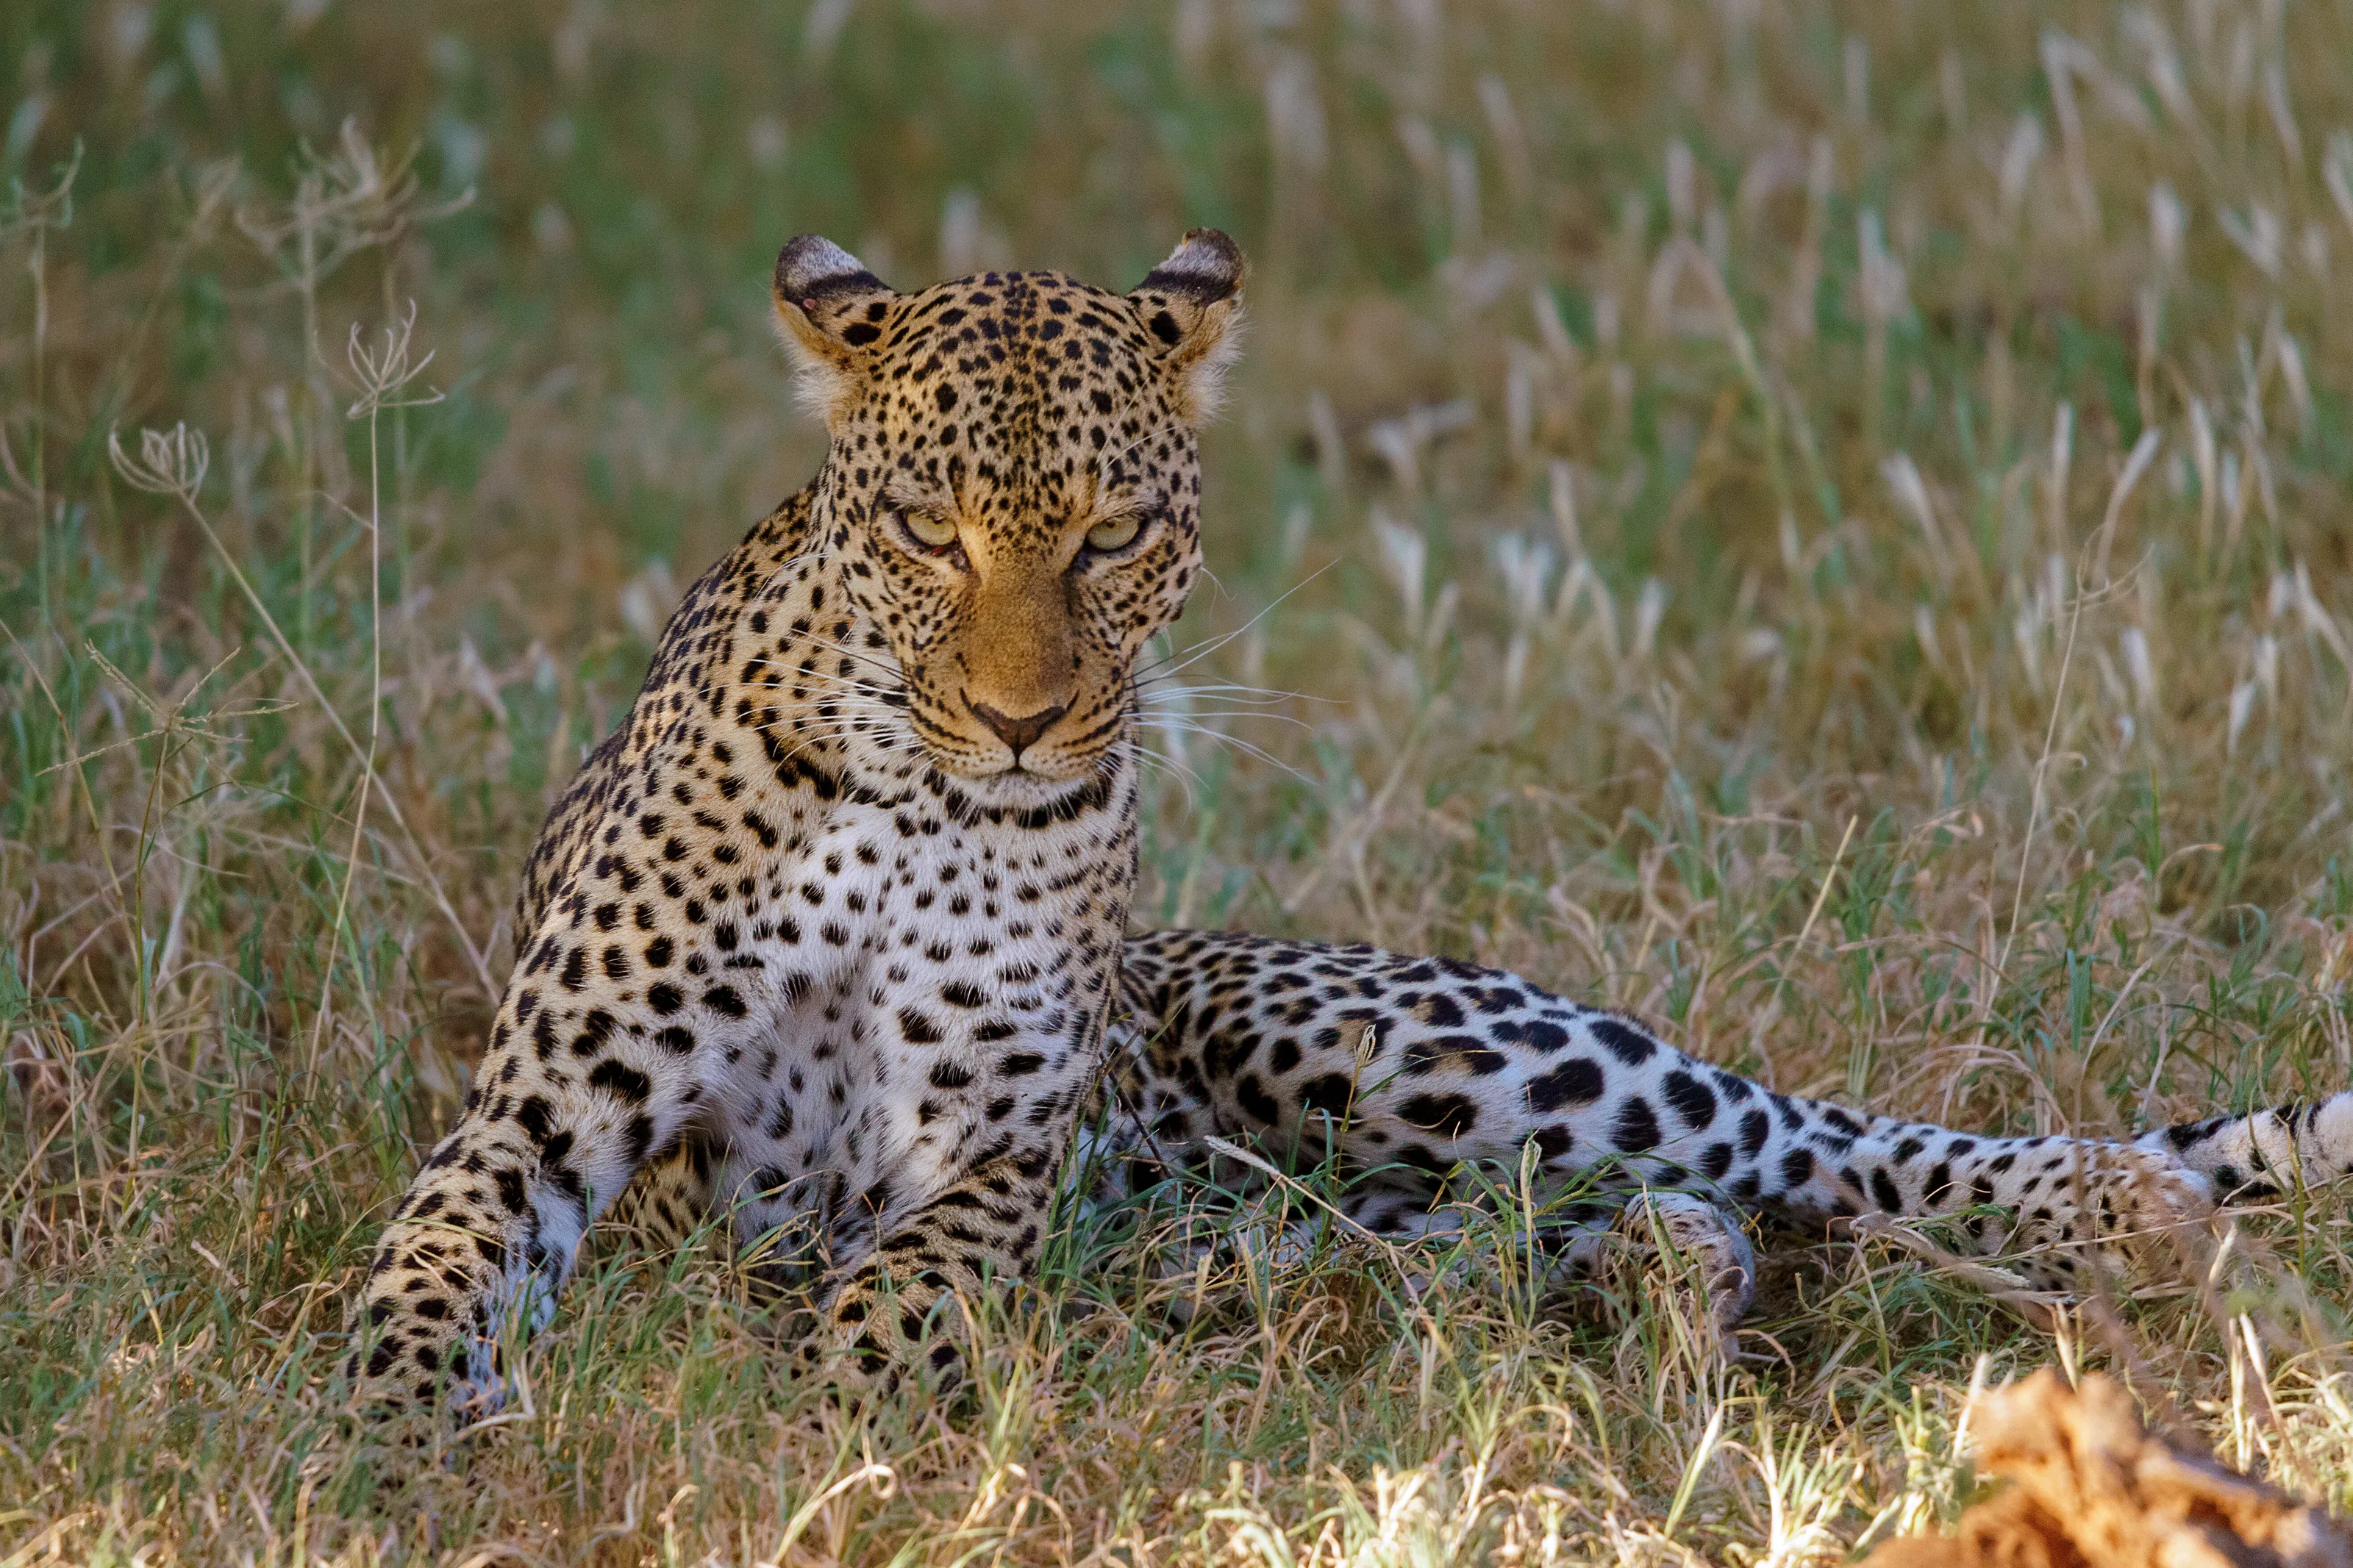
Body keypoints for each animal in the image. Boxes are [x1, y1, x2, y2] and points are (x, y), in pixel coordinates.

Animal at [349, 228, 2353, 1417]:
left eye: (1111, 537)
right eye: (927, 529)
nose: (1023, 724)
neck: (906, 796)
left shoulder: (991, 1151)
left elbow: (893, 1301)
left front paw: (835, 1424)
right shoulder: (537, 1113)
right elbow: (419, 1277)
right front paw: (395, 1443)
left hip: (1408, 1043)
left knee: (1826, 1142)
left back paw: (2140, 1218)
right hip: (1334, 1215)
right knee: (1629, 1227)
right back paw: (1671, 1308)